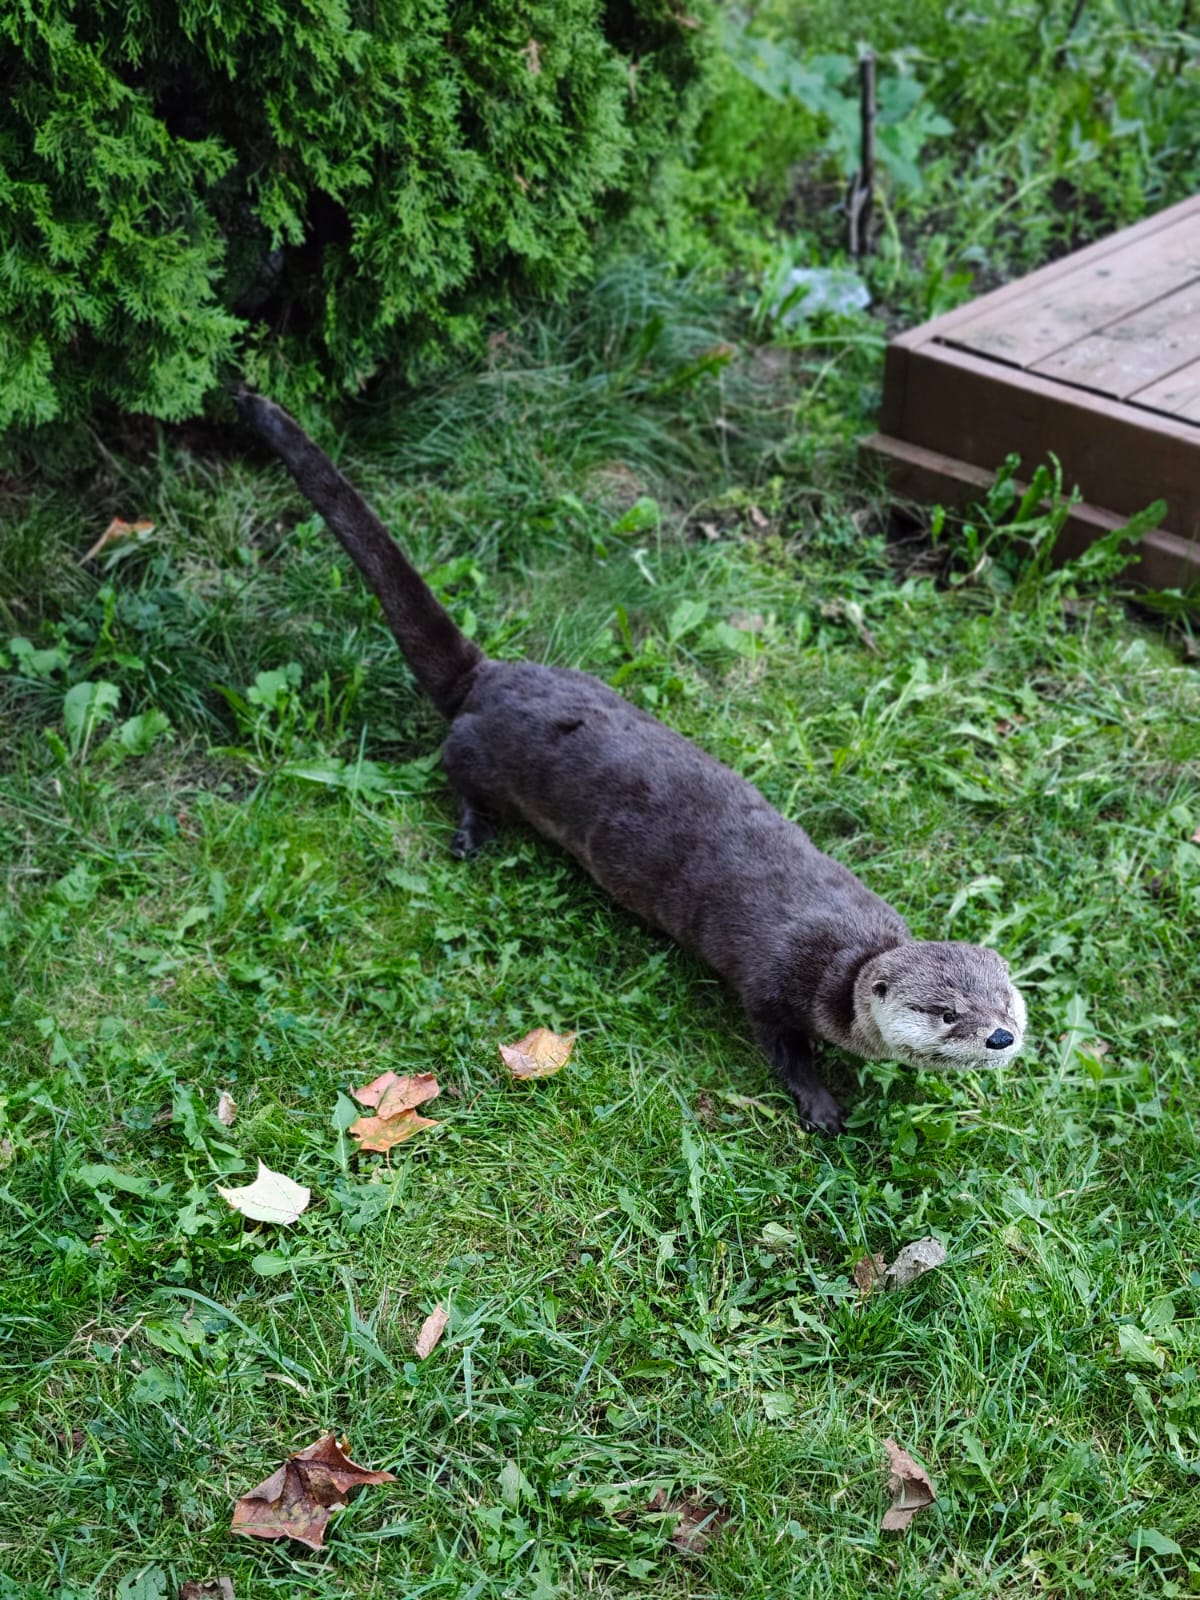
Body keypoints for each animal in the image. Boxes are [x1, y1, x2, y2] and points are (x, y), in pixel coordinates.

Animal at [236, 389, 1027, 1132]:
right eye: (946, 1010)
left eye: (1006, 999)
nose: (999, 1038)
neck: (839, 961)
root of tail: (490, 677)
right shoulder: (770, 983)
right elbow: (778, 1046)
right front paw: (820, 1101)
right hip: (483, 754)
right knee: (458, 770)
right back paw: (470, 835)